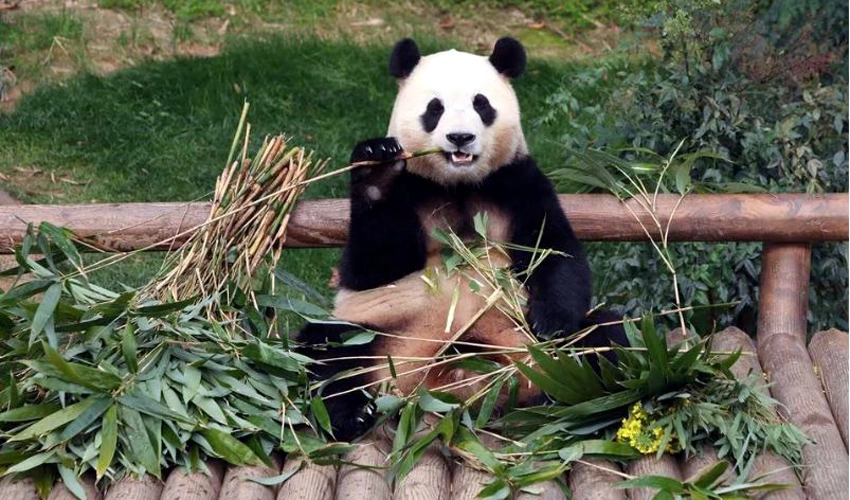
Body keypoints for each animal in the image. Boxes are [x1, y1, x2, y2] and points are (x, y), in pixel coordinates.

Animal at [298, 37, 624, 440]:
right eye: (434, 108)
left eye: (481, 104)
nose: (460, 138)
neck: (459, 185)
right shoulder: (414, 190)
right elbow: (372, 266)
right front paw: (377, 170)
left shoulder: (518, 182)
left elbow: (554, 250)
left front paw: (551, 321)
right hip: (376, 334)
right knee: (328, 350)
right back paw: (352, 414)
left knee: (602, 336)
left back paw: (572, 398)